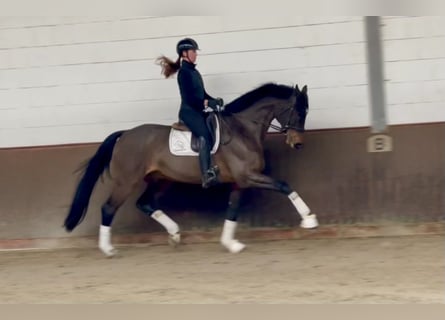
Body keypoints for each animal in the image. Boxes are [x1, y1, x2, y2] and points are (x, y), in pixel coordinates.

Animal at [64, 83, 318, 258]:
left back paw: (175, 233)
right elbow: (283, 185)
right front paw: (309, 219)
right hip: (127, 181)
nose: (297, 144)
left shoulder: (240, 181)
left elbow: (232, 210)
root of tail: (124, 134)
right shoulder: (248, 176)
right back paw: (108, 249)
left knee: (145, 203)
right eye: (298, 112)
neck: (243, 130)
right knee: (108, 208)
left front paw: (231, 244)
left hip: (160, 179)